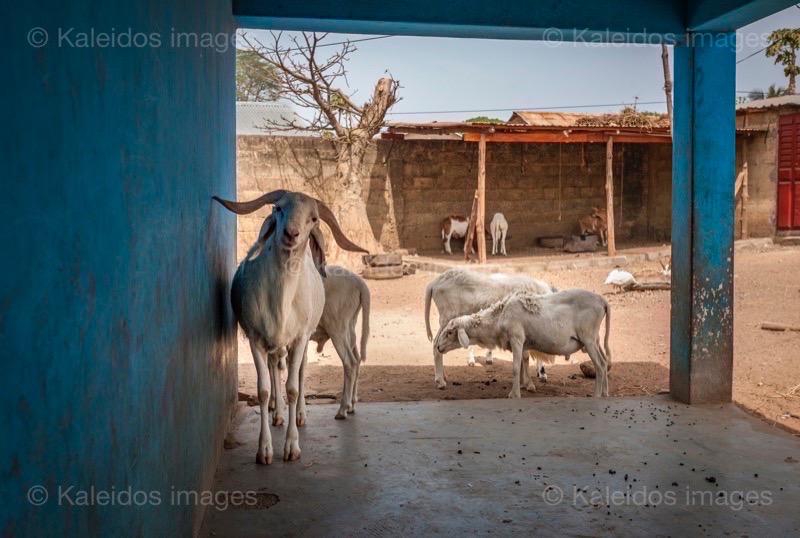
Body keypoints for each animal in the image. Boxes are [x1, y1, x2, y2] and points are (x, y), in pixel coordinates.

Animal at [211, 188, 364, 460]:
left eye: (313, 218)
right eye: (278, 208)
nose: (291, 234)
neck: (280, 299)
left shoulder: (300, 338)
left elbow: (292, 387)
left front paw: (292, 446)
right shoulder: (256, 339)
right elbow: (263, 390)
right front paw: (264, 448)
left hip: (325, 333)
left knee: (321, 369)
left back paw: (319, 412)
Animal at [432, 288, 612, 398]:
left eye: (450, 333)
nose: (438, 346)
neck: (499, 318)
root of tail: (603, 302)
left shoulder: (516, 338)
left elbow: (514, 368)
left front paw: (514, 394)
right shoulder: (519, 344)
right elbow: (520, 366)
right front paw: (522, 386)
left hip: (588, 337)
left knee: (599, 365)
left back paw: (596, 395)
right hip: (595, 339)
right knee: (604, 363)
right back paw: (605, 393)